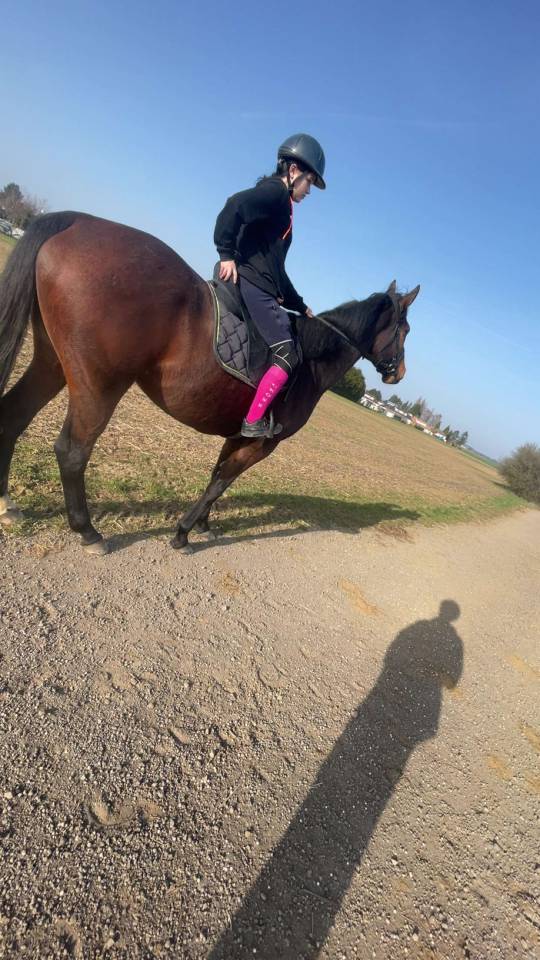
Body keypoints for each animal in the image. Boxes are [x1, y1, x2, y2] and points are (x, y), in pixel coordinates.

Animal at [0, 212, 419, 555]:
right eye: (406, 330)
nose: (398, 373)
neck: (311, 358)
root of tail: (77, 221)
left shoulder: (241, 433)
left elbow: (218, 475)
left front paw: (202, 524)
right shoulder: (263, 443)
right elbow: (222, 481)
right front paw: (183, 533)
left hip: (52, 363)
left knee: (13, 417)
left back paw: (8, 505)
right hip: (100, 383)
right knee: (73, 450)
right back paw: (88, 532)